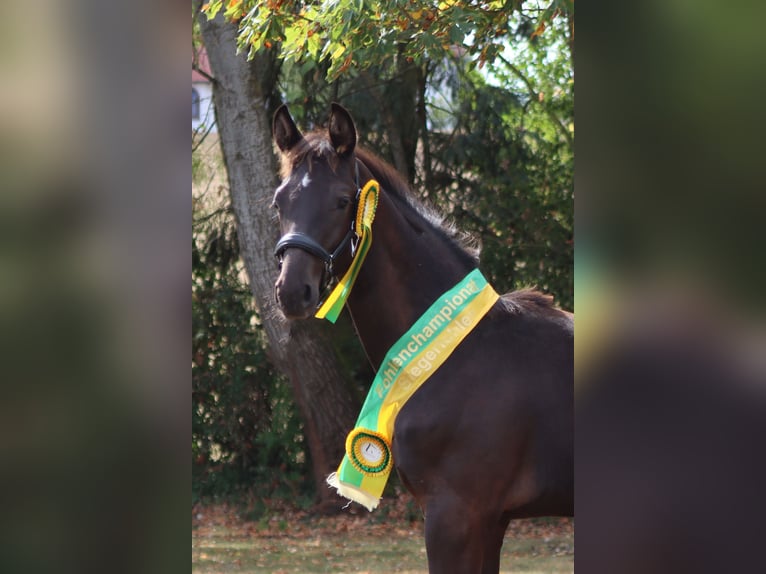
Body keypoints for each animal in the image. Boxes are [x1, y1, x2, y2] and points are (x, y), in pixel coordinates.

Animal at [271, 103, 573, 574]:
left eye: (342, 200)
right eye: (279, 201)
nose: (292, 291)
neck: (463, 356)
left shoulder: (455, 518)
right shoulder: (491, 521)